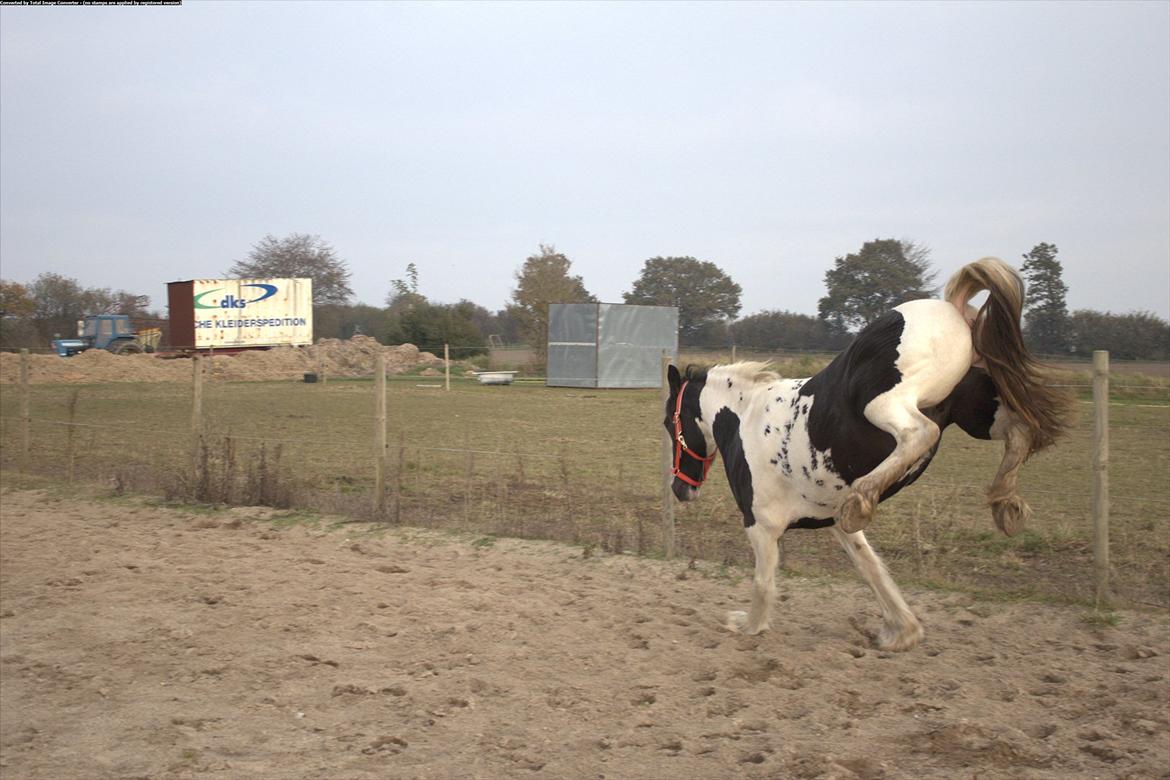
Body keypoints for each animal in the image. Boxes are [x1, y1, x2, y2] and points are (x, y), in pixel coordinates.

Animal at [664, 257, 1071, 654]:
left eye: (670, 423)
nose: (680, 489)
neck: (746, 418)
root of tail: (951, 308)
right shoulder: (834, 525)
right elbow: (873, 571)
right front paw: (902, 632)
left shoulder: (761, 526)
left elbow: (763, 586)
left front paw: (745, 625)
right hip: (977, 411)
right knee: (1020, 432)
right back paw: (1005, 505)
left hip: (886, 404)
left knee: (922, 432)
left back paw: (864, 496)